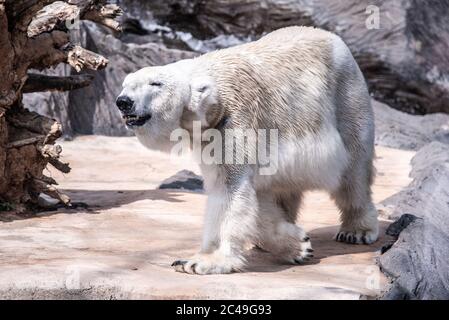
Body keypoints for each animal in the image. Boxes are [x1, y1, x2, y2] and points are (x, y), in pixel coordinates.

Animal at [117, 26, 376, 274]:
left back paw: (357, 230)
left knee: (354, 169)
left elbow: (231, 190)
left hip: (345, 95)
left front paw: (203, 262)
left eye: (155, 84)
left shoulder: (235, 122)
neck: (215, 99)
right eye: (125, 84)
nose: (123, 101)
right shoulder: (211, 136)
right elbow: (239, 191)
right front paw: (297, 245)